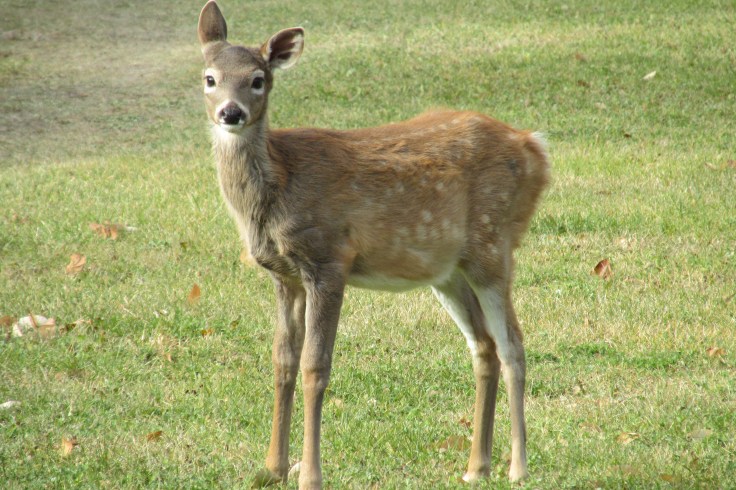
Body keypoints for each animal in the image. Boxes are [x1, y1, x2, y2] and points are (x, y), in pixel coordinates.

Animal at [197, 1, 549, 488]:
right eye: (210, 77)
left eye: (257, 79)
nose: (231, 113)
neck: (280, 184)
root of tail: (536, 148)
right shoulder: (285, 275)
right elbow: (282, 361)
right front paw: (271, 468)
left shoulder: (328, 259)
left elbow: (315, 366)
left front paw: (309, 474)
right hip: (447, 271)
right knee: (485, 346)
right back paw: (476, 467)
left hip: (492, 244)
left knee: (513, 343)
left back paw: (517, 467)